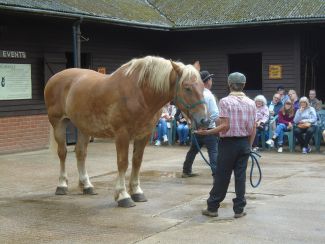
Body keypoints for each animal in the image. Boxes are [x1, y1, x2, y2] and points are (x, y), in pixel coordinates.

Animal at [44, 55, 208, 208]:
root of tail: (55, 78)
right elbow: (123, 163)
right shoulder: (122, 135)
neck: (140, 93)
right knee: (63, 153)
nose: (204, 120)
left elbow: (137, 161)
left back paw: (87, 186)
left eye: (202, 86)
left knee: (80, 153)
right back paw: (62, 185)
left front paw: (136, 192)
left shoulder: (144, 135)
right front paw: (123, 196)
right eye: (187, 87)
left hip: (84, 127)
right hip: (58, 123)